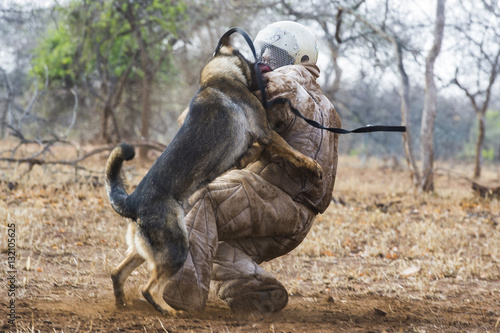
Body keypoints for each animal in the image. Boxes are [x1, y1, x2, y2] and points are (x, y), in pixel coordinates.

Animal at [105, 31, 324, 314]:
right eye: (252, 60)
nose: (263, 69)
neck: (216, 77)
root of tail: (131, 201)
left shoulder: (256, 141)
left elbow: (255, 153)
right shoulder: (266, 133)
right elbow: (293, 152)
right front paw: (311, 165)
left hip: (146, 249)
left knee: (117, 273)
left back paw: (122, 304)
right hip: (178, 246)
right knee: (149, 289)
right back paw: (170, 311)